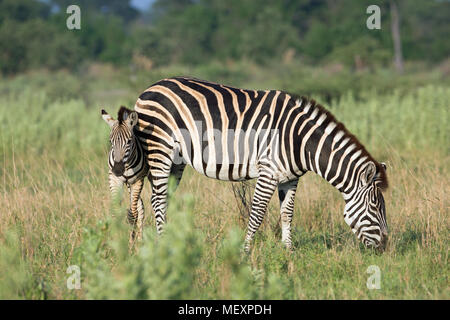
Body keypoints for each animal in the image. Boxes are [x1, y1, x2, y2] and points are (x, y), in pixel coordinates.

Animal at [133, 76, 386, 251]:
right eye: (375, 207)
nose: (385, 246)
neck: (299, 139)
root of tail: (148, 89)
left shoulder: (290, 178)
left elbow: (287, 213)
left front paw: (289, 252)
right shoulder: (268, 172)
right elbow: (257, 213)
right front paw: (245, 251)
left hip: (176, 160)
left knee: (164, 198)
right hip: (160, 149)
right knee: (157, 199)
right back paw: (163, 244)